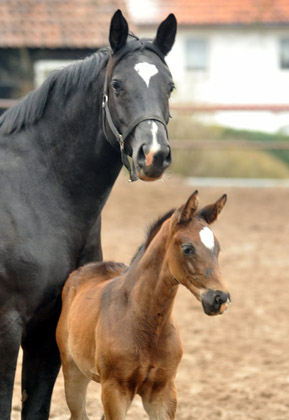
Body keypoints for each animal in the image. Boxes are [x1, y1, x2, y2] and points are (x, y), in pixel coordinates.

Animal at [56, 191, 230, 420]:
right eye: (188, 248)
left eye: (217, 249)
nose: (220, 299)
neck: (146, 324)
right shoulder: (115, 390)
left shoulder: (163, 391)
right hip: (73, 373)